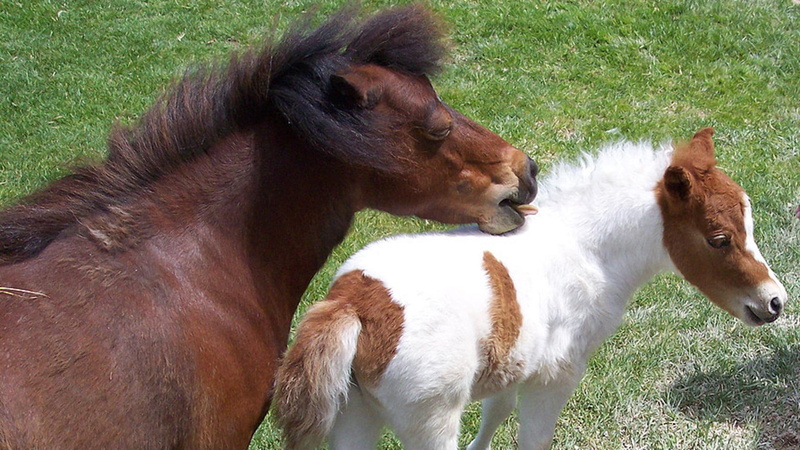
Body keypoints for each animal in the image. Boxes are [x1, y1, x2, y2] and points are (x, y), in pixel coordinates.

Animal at [273, 128, 787, 449]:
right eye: (719, 239)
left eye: (749, 223)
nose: (774, 301)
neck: (586, 247)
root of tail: (353, 303)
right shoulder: (557, 374)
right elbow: (533, 438)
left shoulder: (515, 362)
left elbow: (496, 413)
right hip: (429, 416)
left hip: (352, 415)